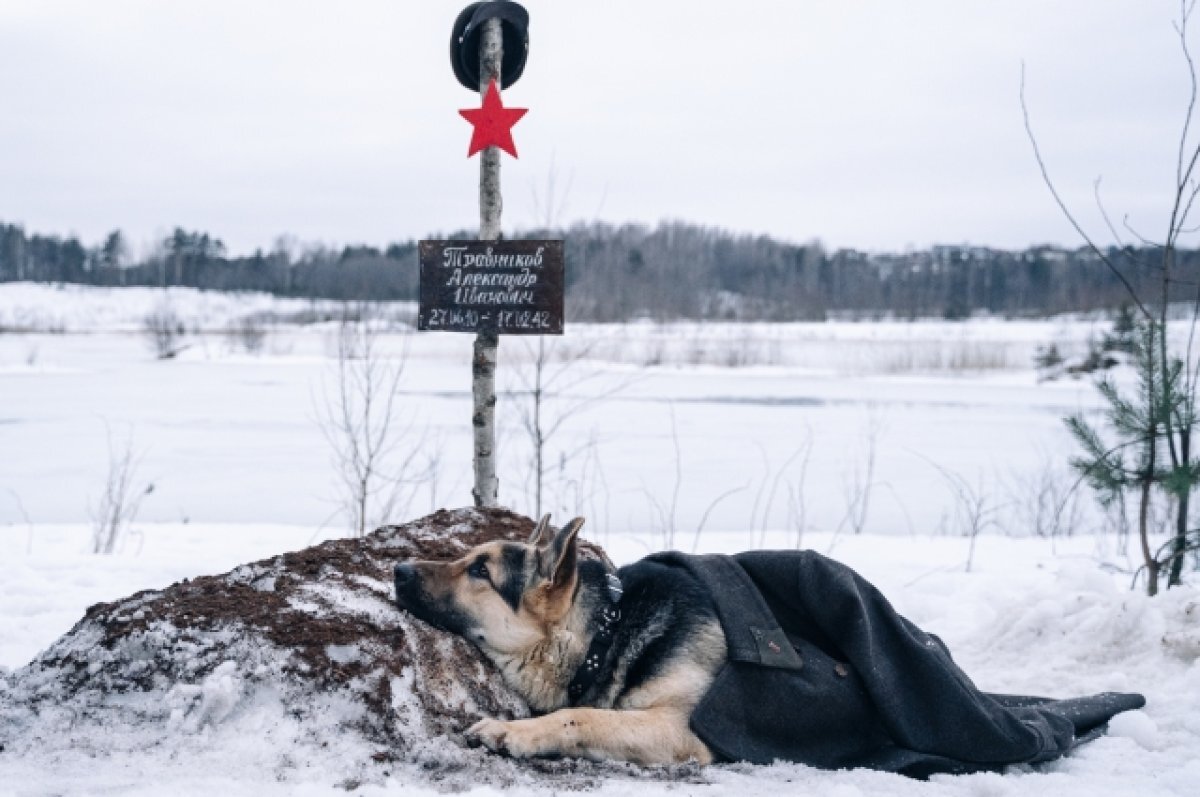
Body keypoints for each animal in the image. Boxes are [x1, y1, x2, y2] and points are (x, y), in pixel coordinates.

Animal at [398, 513, 724, 763]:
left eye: (480, 570)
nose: (398, 569)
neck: (607, 633)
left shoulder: (682, 728)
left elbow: (582, 716)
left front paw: (512, 730)